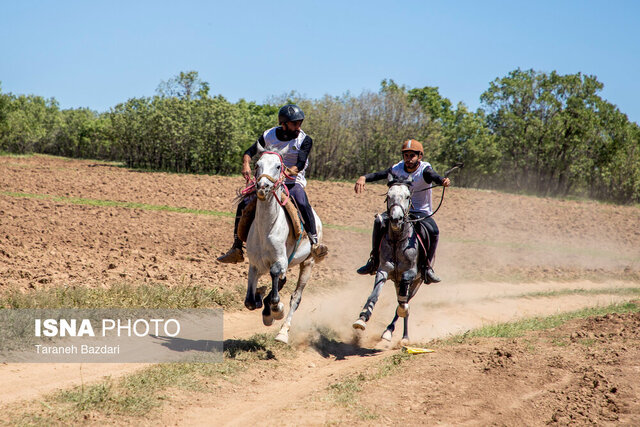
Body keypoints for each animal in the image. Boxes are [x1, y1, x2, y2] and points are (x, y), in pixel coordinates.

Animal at [244, 145, 328, 346]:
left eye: (277, 166)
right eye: (257, 165)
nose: (262, 187)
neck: (266, 227)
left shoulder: (280, 260)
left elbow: (275, 282)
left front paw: (275, 310)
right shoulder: (255, 264)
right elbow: (250, 301)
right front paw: (261, 299)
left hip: (307, 263)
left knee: (296, 297)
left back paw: (283, 332)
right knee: (281, 282)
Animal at [352, 174, 422, 344]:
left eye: (407, 196)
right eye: (389, 196)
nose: (396, 219)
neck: (397, 240)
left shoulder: (410, 273)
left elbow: (403, 305)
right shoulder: (383, 269)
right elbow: (374, 294)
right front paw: (362, 318)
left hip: (417, 283)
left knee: (404, 304)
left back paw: (402, 336)